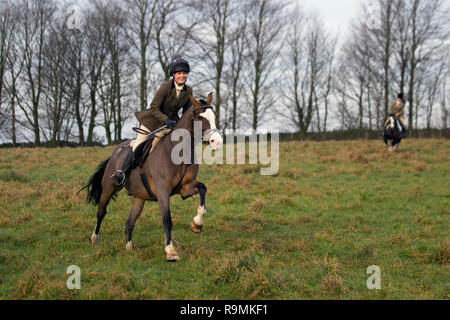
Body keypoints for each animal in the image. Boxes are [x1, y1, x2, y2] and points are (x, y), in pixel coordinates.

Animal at [80, 93, 223, 262]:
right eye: (200, 117)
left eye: (214, 116)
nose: (217, 142)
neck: (179, 153)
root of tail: (116, 151)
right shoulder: (162, 192)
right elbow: (167, 220)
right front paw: (170, 251)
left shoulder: (186, 188)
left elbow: (203, 190)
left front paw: (197, 224)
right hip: (109, 188)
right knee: (101, 212)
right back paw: (95, 239)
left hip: (138, 198)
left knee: (129, 222)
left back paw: (129, 248)